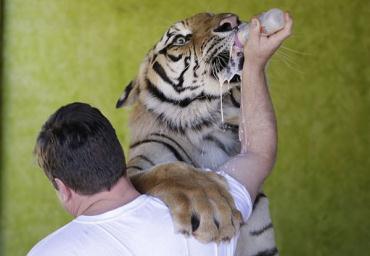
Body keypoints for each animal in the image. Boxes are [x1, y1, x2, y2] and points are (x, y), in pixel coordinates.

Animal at [115, 12, 278, 256]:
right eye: (181, 40)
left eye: (211, 14)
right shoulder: (133, 172)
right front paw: (209, 204)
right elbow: (169, 171)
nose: (232, 21)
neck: (209, 123)